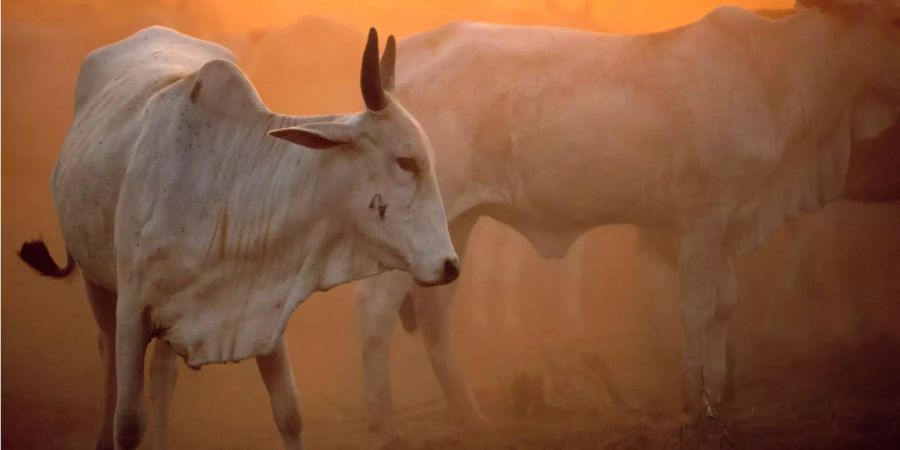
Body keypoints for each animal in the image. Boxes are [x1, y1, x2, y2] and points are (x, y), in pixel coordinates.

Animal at [20, 25, 460, 450]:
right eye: (406, 161)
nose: (450, 265)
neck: (224, 193)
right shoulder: (133, 312)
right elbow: (128, 423)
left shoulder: (265, 307)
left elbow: (289, 412)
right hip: (97, 282)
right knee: (106, 351)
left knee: (163, 375)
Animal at [352, 0, 900, 446]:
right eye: (892, 21)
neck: (774, 71)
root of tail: (407, 58)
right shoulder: (701, 217)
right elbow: (697, 309)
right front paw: (698, 409)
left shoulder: (726, 222)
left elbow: (725, 305)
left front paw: (719, 394)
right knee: (376, 312)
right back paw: (385, 428)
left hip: (455, 221)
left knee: (436, 317)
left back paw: (472, 420)